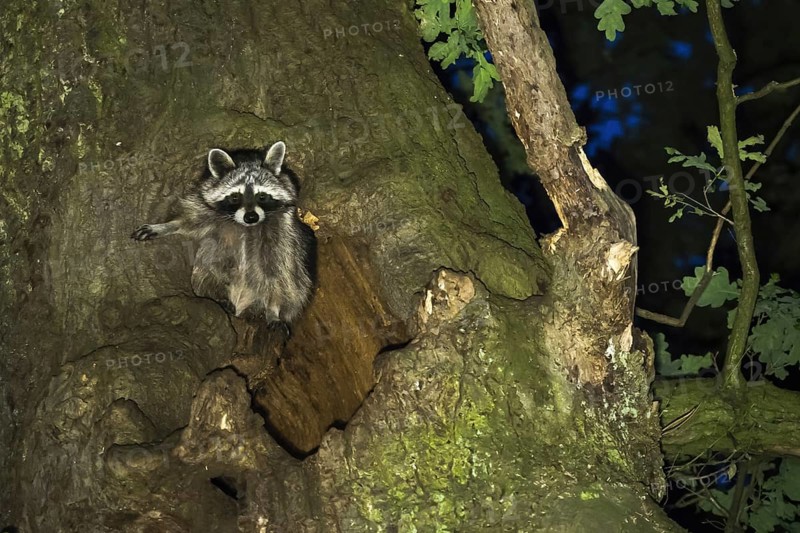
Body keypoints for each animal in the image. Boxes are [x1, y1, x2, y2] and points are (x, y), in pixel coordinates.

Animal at [131, 141, 317, 324]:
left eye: (262, 196)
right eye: (235, 197)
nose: (251, 217)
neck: (247, 227)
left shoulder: (284, 231)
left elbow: (279, 275)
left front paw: (273, 309)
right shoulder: (207, 211)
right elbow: (188, 222)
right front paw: (166, 226)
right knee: (208, 269)